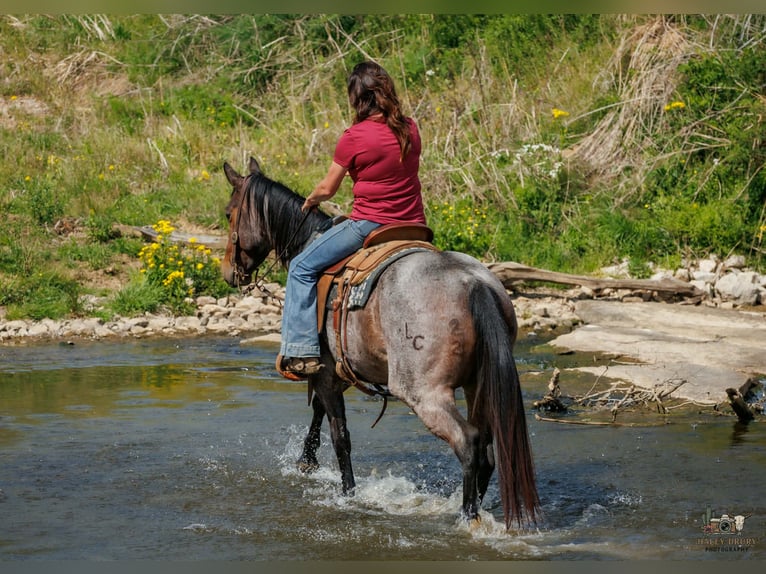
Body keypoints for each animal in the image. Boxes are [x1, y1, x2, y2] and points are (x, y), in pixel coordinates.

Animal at [221, 157, 540, 529]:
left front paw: (347, 492)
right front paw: (307, 461)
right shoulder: (340, 370)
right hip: (477, 385)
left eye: (229, 213)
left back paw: (467, 516)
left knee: (469, 443)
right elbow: (320, 412)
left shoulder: (326, 372)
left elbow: (340, 435)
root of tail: (472, 283)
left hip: (423, 392)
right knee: (487, 450)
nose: (229, 272)